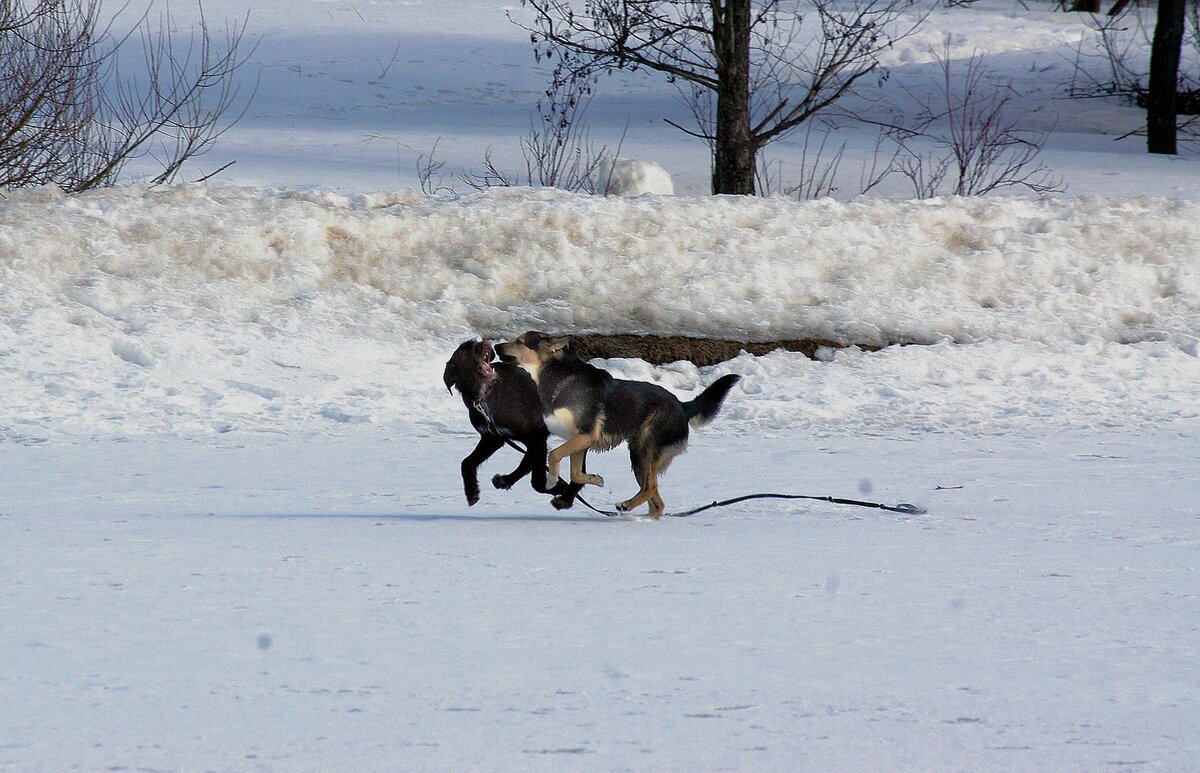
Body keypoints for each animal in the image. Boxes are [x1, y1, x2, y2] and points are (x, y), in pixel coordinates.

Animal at [446, 340, 585, 511]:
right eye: (464, 351)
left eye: (476, 343)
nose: (485, 344)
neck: (485, 397)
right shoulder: (493, 438)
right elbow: (467, 463)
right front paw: (472, 492)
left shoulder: (537, 439)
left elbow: (537, 481)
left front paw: (558, 487)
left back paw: (565, 499)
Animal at [489, 331, 734, 518]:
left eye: (520, 341)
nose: (495, 346)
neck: (559, 379)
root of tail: (683, 406)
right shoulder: (578, 441)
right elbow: (575, 474)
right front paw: (595, 480)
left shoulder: (585, 436)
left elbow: (554, 455)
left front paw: (551, 480)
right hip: (642, 458)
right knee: (657, 501)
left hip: (642, 449)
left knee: (651, 487)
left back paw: (626, 505)